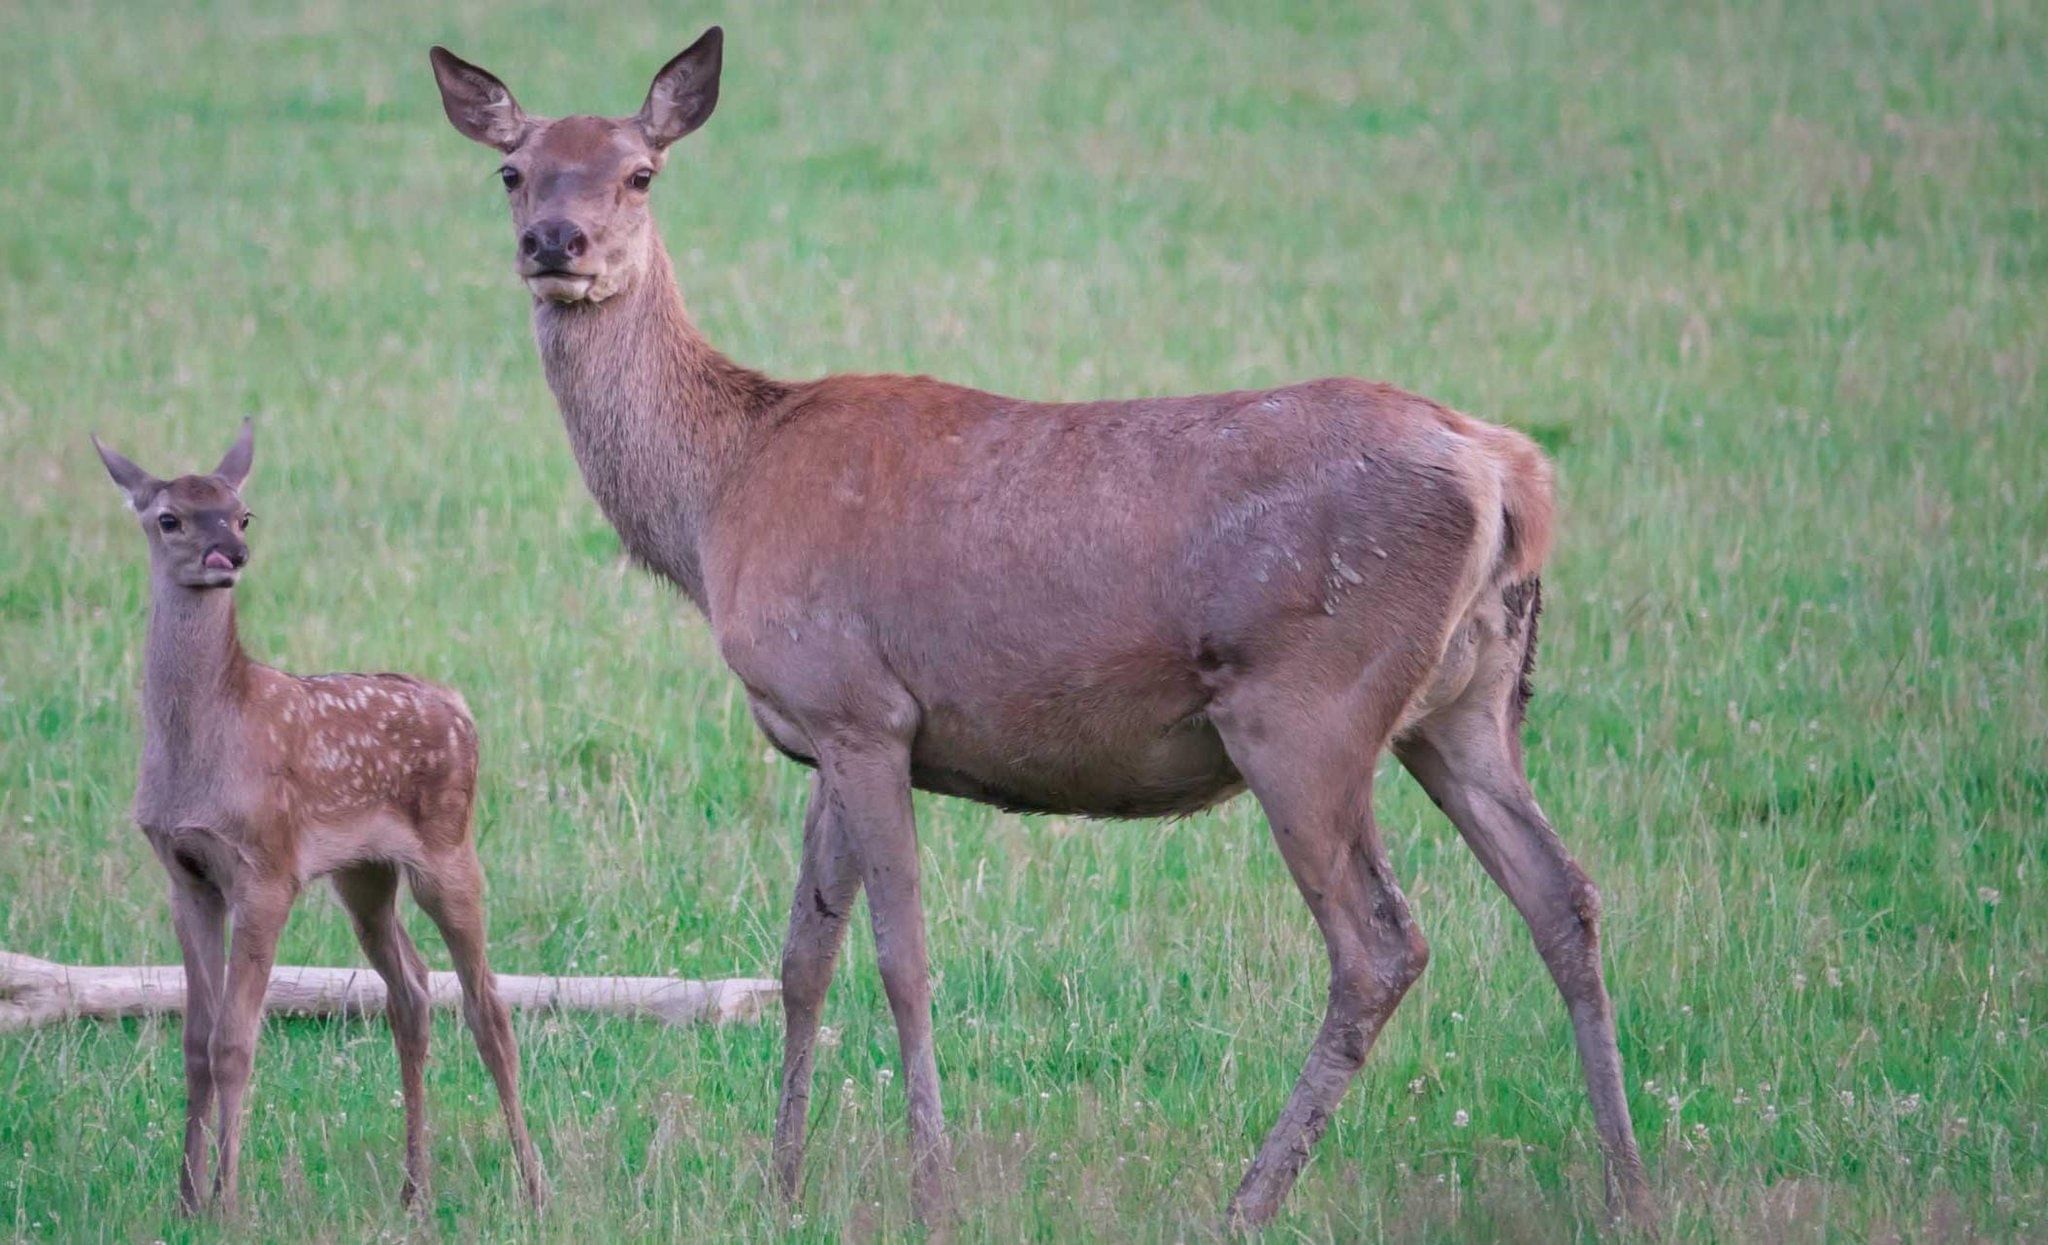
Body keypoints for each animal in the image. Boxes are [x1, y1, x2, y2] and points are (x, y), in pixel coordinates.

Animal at [93, 423, 544, 1212]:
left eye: (242, 514)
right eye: (169, 517)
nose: (229, 556)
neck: (204, 743)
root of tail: (460, 706)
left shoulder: (266, 867)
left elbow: (235, 1041)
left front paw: (228, 1203)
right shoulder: (186, 874)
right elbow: (196, 1041)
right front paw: (183, 1199)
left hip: (449, 847)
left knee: (488, 1006)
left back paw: (533, 1186)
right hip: (365, 874)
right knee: (412, 992)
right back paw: (412, 1190)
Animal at [428, 29, 1646, 1228]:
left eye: (641, 172)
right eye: (513, 171)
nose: (555, 241)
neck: (716, 497)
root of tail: (1509, 472)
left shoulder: (858, 706)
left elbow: (901, 959)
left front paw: (930, 1184)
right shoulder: (822, 724)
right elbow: (802, 954)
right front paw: (781, 1183)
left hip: (1308, 708)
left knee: (1380, 944)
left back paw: (1247, 1197)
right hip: (1465, 702)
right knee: (1562, 895)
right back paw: (1626, 1185)